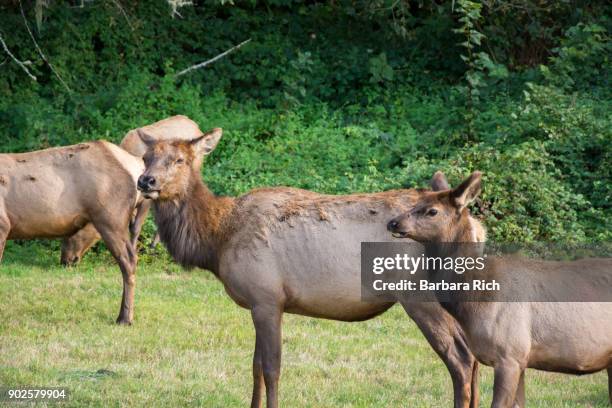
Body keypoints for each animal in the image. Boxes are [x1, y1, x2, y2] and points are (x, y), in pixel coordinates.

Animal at [135, 127, 492, 408]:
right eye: (146, 157)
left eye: (180, 160)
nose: (145, 181)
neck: (218, 239)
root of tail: (474, 226)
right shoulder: (260, 301)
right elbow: (255, 367)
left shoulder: (267, 297)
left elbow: (271, 369)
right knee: (474, 358)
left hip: (420, 296)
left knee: (461, 360)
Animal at [388, 171, 612, 408]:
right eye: (416, 203)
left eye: (432, 211)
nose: (393, 222)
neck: (475, 302)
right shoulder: (521, 359)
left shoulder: (510, 353)